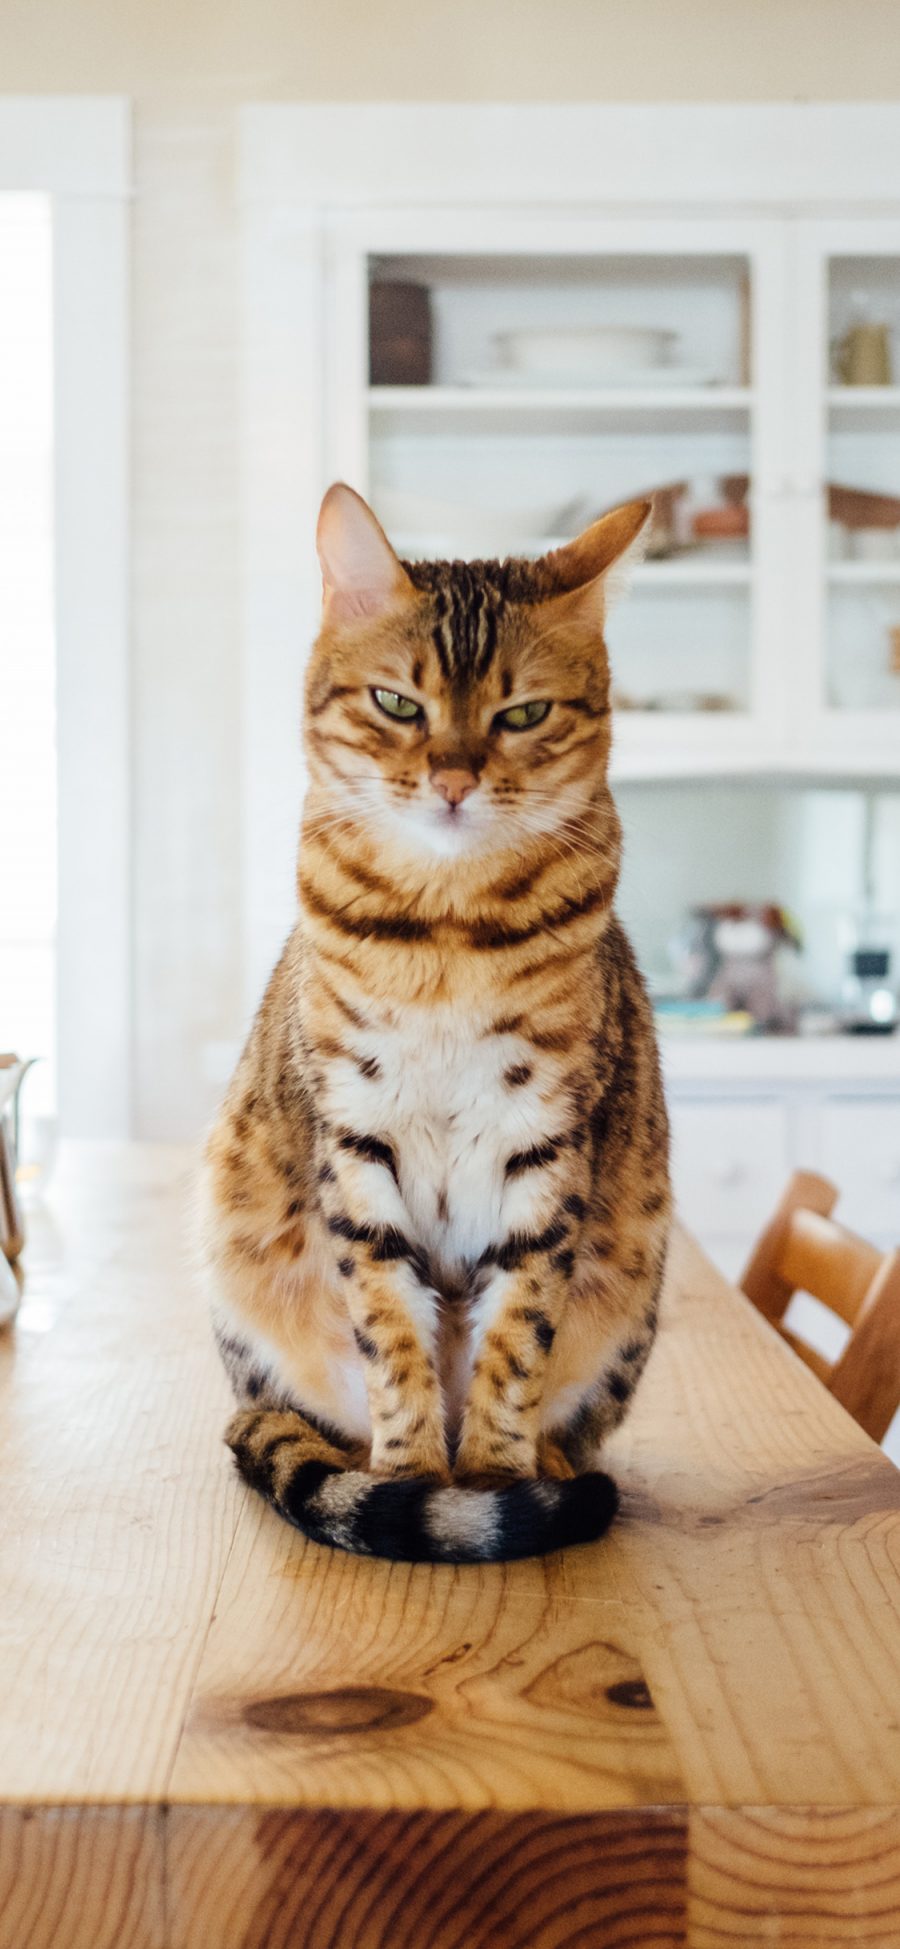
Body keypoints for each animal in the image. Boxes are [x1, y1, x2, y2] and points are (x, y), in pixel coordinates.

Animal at [202, 487, 666, 1566]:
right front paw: (413, 1476)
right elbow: (390, 1330)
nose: (453, 779)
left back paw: (549, 1470)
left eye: (523, 712)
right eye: (398, 705)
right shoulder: (356, 1133)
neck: (449, 931)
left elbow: (516, 1334)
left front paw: (493, 1477)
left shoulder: (547, 1140)